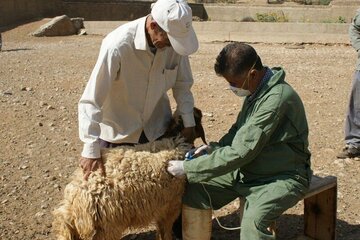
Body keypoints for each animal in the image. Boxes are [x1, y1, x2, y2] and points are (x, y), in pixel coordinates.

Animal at [52, 107, 207, 240]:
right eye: (198, 117)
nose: (198, 110)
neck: (175, 140)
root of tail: (72, 206)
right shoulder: (170, 207)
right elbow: (165, 232)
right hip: (106, 229)